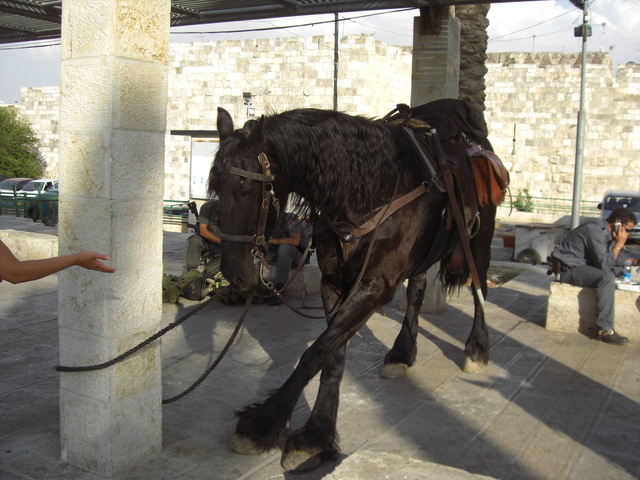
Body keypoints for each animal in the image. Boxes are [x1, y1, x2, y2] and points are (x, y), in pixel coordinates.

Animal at [208, 98, 502, 472]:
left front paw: (264, 422)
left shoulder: (375, 287)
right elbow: (332, 355)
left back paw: (477, 346)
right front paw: (317, 436)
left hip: (479, 239)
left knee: (480, 288)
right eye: (216, 190)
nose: (234, 274)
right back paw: (402, 352)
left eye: (247, 191)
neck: (369, 192)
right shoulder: (336, 283)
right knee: (417, 292)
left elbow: (315, 352)